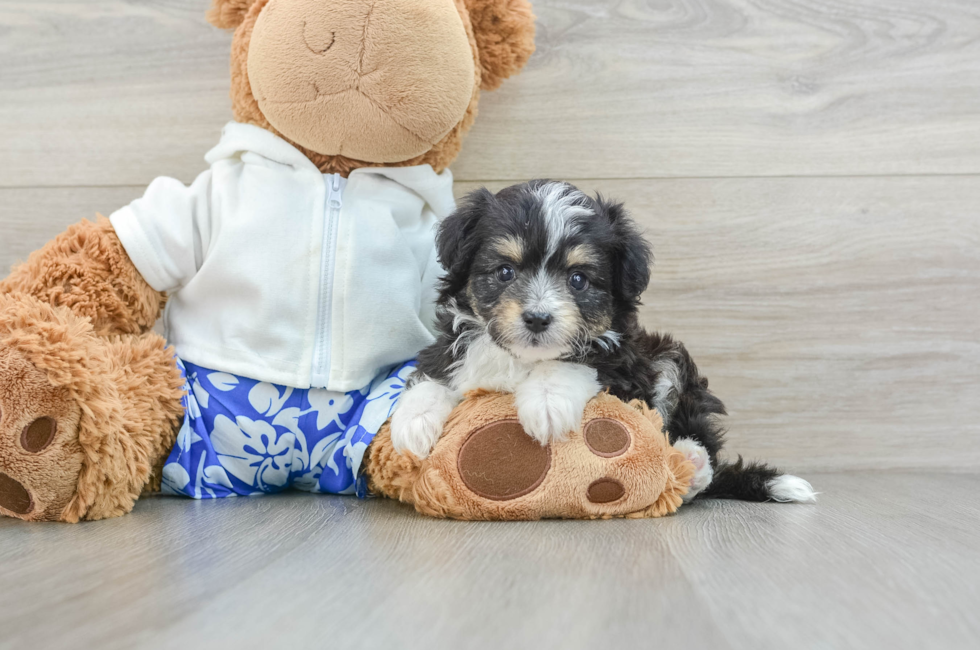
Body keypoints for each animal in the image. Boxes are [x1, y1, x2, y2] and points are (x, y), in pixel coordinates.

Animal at [390, 180, 812, 504]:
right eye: (505, 271)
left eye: (578, 279)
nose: (538, 318)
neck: (523, 358)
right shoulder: (451, 345)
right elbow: (433, 373)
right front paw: (412, 424)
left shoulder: (623, 360)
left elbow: (578, 361)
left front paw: (546, 401)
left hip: (670, 359)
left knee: (694, 440)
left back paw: (692, 464)